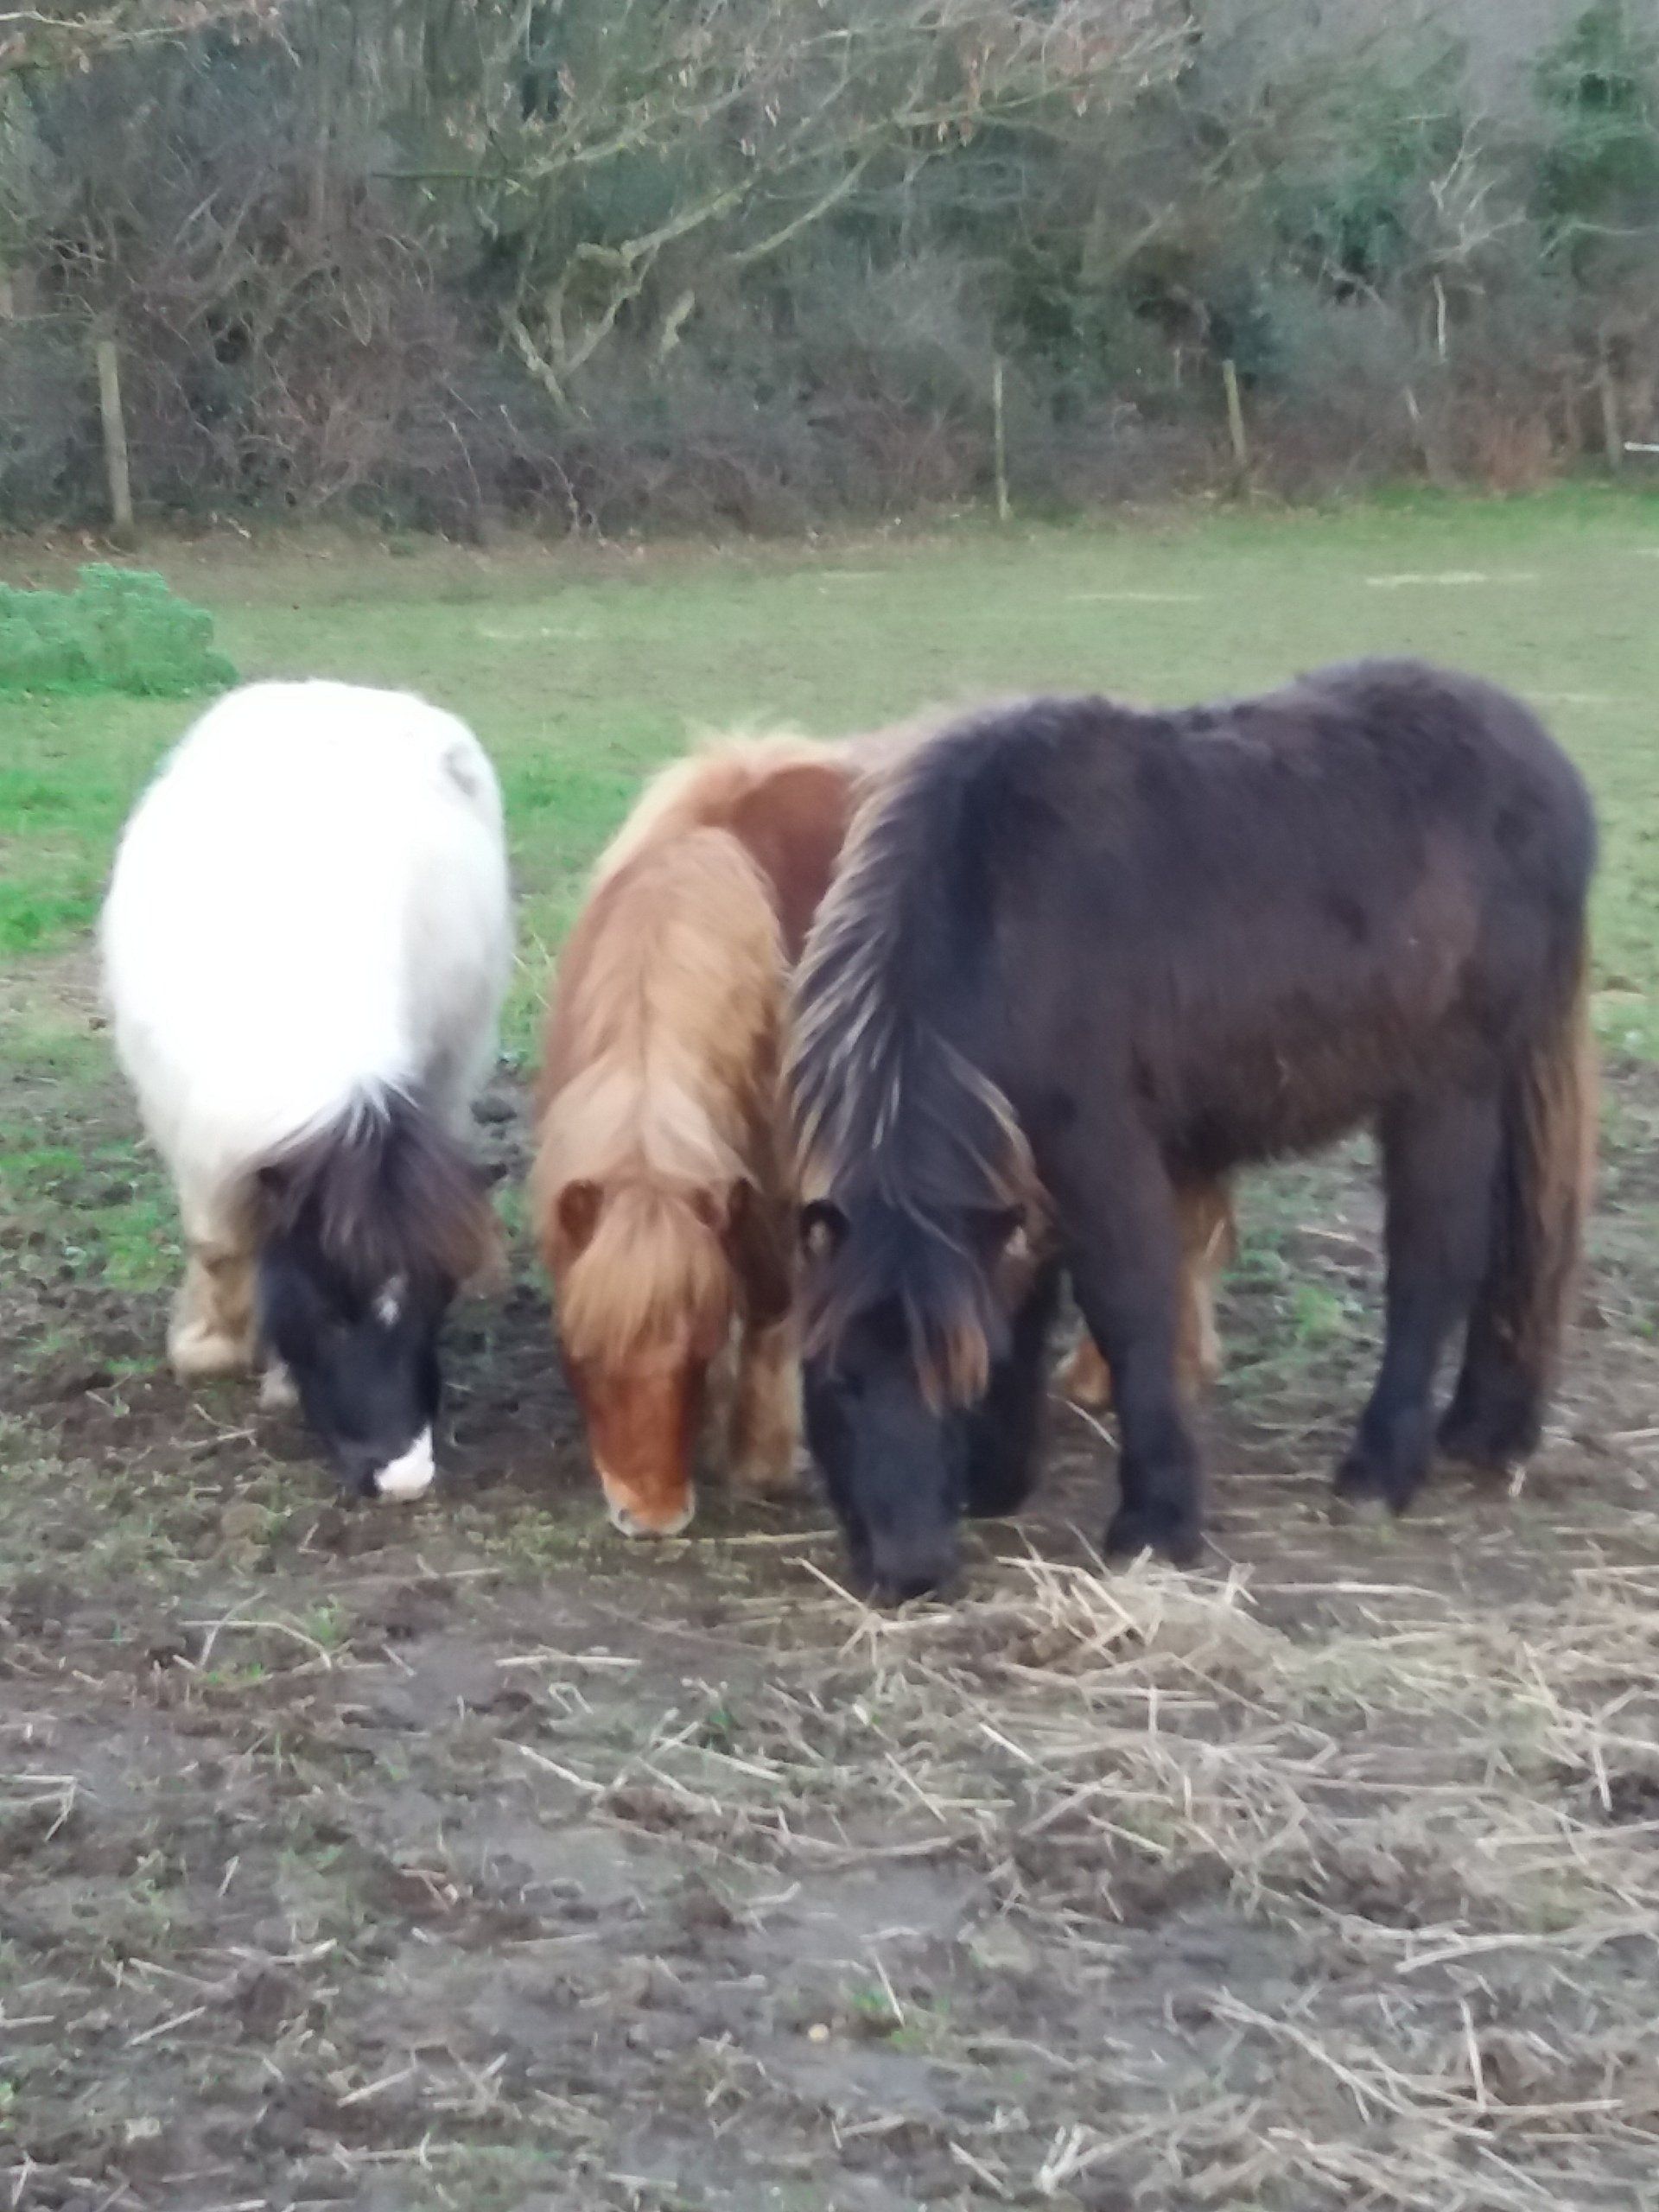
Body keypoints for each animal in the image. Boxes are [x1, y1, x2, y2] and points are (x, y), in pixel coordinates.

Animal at [102, 680, 511, 1500]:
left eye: (437, 1301)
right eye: (331, 1306)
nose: (404, 1476)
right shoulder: (205, 1142)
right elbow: (221, 1246)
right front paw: (213, 1347)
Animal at [789, 660, 1597, 1600]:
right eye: (838, 1378)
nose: (911, 1568)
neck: (995, 916)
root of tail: (1543, 763)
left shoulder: (1101, 1156)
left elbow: (1131, 1312)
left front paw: (1156, 1520)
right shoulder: (1019, 1170)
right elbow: (1023, 1301)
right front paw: (1000, 1475)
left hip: (1445, 1094)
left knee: (1434, 1266)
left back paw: (1383, 1467)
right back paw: (1483, 1428)